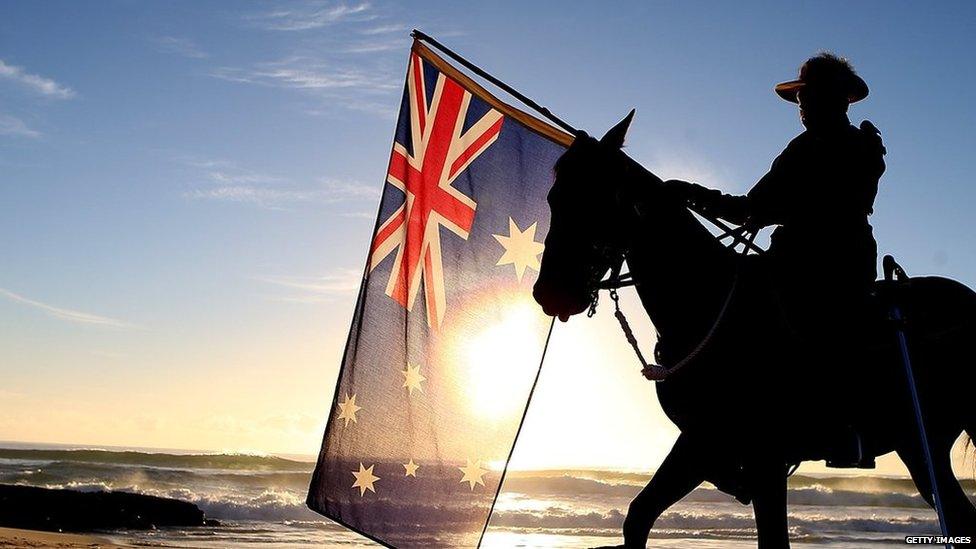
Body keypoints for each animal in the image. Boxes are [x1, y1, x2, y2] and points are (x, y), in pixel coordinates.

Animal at [532, 113, 976, 544]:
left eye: (596, 197)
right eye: (555, 197)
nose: (549, 292)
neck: (707, 304)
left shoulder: (762, 457)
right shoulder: (700, 442)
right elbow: (639, 516)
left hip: (921, 444)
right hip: (921, 446)